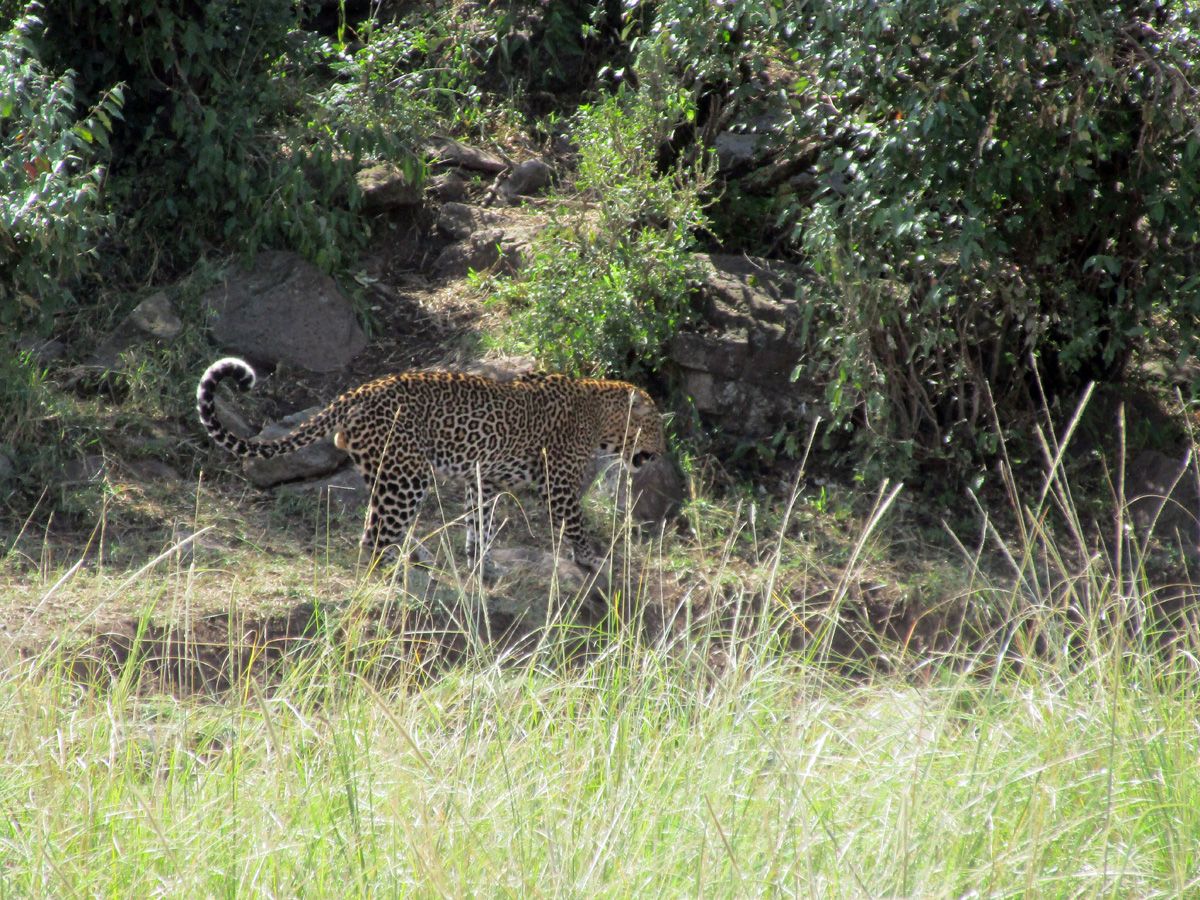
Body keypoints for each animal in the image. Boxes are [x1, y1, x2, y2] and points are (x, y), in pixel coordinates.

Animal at [196, 357, 665, 571]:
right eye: (658, 425)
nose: (660, 454)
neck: (599, 416)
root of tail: (359, 391)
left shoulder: (485, 480)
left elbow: (480, 522)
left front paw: (482, 563)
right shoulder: (560, 484)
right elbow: (577, 524)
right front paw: (592, 559)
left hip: (387, 472)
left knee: (381, 524)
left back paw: (416, 554)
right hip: (408, 473)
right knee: (373, 538)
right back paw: (398, 566)